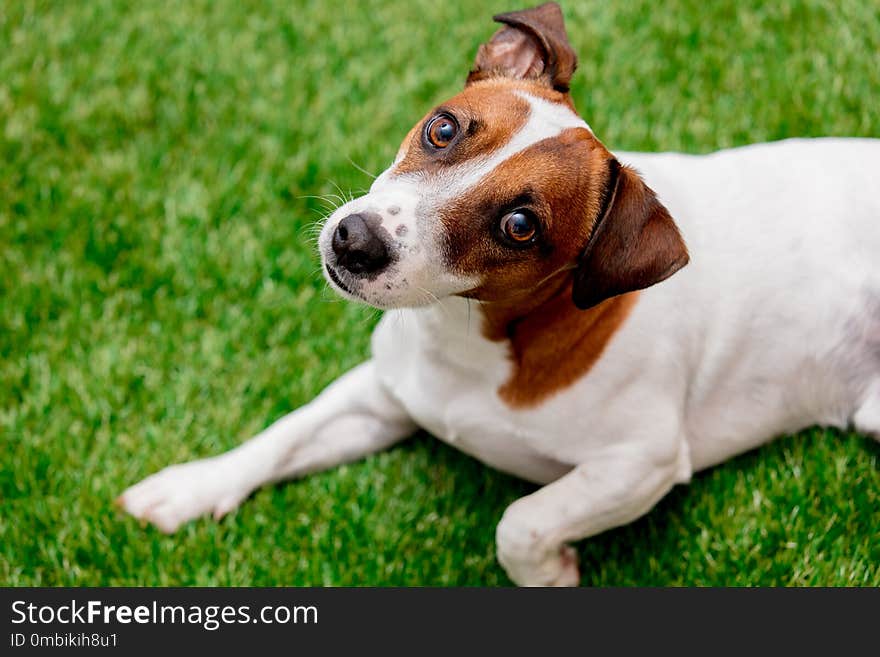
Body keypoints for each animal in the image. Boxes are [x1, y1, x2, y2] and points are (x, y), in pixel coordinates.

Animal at [118, 2, 880, 588]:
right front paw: (194, 485)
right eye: (443, 127)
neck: (472, 340)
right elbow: (284, 434)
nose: (354, 240)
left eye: (520, 225)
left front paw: (547, 573)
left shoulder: (642, 461)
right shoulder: (383, 393)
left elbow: (521, 521)